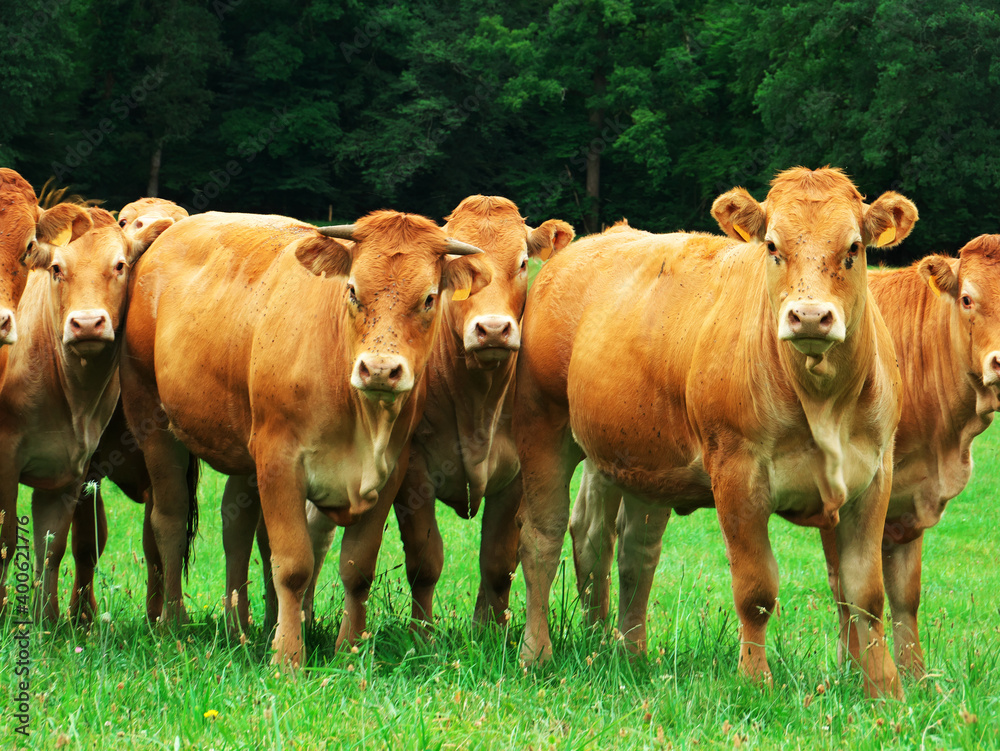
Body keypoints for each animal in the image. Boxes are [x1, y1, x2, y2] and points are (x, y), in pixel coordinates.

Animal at [0, 209, 170, 620]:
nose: (88, 323)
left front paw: (46, 621)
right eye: (57, 269)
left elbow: (52, 547)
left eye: (121, 265)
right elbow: (7, 541)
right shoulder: (6, 462)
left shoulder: (70, 472)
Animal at [124, 210, 492, 664]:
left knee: (237, 525)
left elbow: (357, 567)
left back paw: (242, 626)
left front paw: (349, 649)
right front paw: (287, 657)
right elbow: (293, 564)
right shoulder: (278, 459)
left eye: (427, 299)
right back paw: (174, 623)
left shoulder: (393, 470)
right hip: (152, 419)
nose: (380, 370)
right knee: (170, 521)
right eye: (353, 291)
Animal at [300, 195, 576, 628]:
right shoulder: (413, 472)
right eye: (464, 276)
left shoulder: (517, 473)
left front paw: (490, 632)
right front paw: (421, 634)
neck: (478, 399)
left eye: (522, 263)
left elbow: (498, 564)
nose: (492, 329)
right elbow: (425, 562)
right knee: (317, 533)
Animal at [520, 169, 916, 700]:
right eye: (772, 246)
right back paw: (536, 653)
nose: (811, 316)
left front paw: (884, 690)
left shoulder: (873, 476)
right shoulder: (737, 474)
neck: (823, 401)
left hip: (639, 457)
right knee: (541, 537)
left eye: (853, 247)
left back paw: (622, 651)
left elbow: (865, 593)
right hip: (543, 426)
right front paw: (755, 680)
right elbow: (756, 590)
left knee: (622, 548)